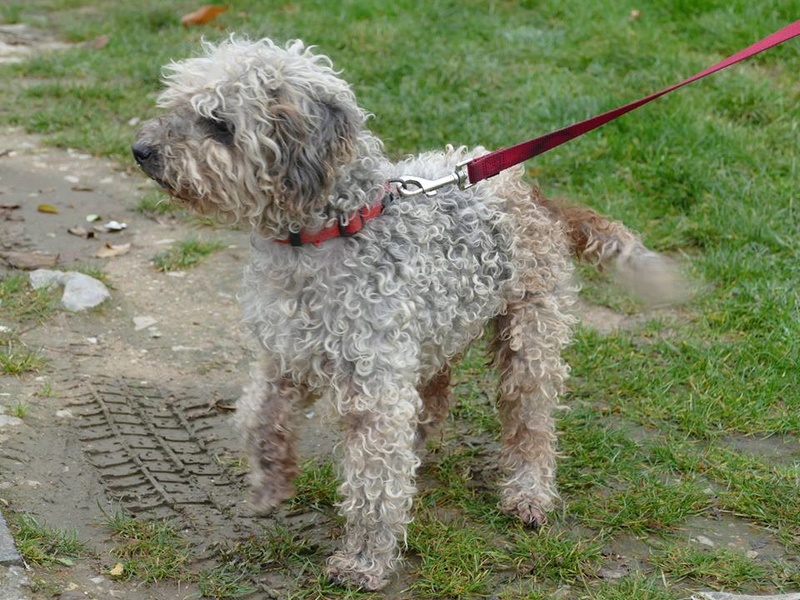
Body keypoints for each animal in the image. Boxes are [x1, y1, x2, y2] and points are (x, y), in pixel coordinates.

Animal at [134, 37, 684, 592]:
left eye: (218, 124)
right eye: (179, 105)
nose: (141, 151)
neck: (325, 234)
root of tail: (530, 192)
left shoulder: (372, 385)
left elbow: (373, 483)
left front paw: (364, 560)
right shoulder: (285, 355)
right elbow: (258, 418)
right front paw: (270, 483)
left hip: (528, 343)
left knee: (532, 426)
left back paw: (528, 494)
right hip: (435, 335)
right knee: (436, 400)